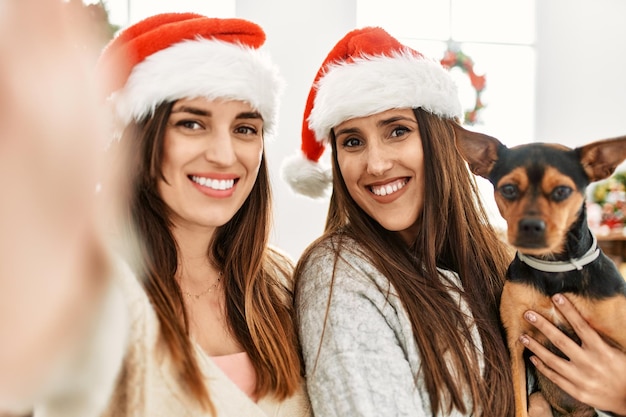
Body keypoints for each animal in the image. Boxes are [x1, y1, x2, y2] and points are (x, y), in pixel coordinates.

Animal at [454, 124, 624, 416]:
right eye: (509, 189)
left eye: (562, 191)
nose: (530, 226)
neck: (552, 266)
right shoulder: (516, 345)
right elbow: (519, 404)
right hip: (539, 401)